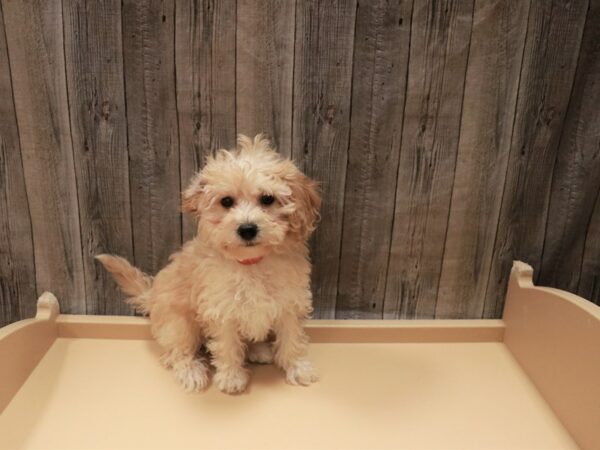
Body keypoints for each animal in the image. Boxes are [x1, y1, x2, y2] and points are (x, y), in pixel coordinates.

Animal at [98, 134, 322, 394]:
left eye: (267, 199)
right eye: (226, 201)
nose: (247, 228)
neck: (250, 262)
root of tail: (151, 295)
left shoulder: (289, 302)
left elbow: (292, 338)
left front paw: (299, 368)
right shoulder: (221, 308)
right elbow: (227, 345)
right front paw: (231, 377)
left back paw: (259, 350)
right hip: (178, 322)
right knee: (176, 351)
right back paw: (191, 371)